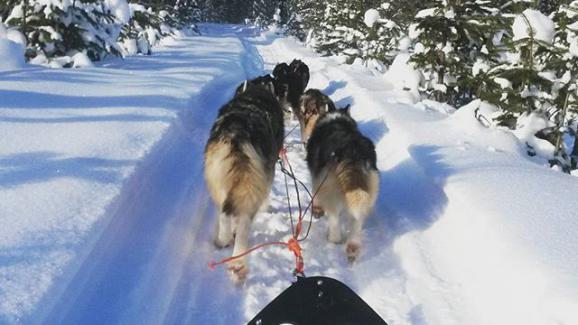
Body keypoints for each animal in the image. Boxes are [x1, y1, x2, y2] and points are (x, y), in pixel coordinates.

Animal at [202, 78, 284, 280]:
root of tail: (237, 133)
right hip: (251, 186)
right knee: (243, 222)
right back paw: (237, 256)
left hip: (219, 181)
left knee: (226, 211)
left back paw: (227, 244)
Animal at [304, 107, 380, 262]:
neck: (336, 120)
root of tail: (352, 150)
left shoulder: (317, 179)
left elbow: (316, 196)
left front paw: (317, 210)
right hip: (367, 192)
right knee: (357, 221)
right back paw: (353, 247)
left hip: (330, 190)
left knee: (334, 218)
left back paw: (334, 239)